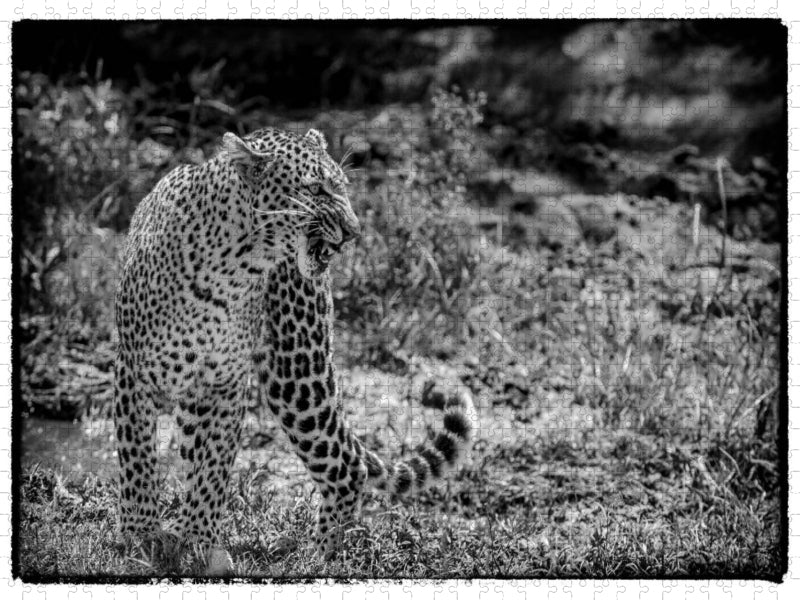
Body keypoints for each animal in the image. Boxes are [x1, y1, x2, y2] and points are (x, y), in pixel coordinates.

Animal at [114, 127, 476, 575]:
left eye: (343, 187)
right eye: (316, 188)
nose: (355, 230)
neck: (230, 267)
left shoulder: (226, 385)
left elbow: (213, 470)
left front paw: (200, 540)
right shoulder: (134, 372)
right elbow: (137, 460)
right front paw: (143, 536)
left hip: (296, 375)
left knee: (347, 467)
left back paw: (312, 558)